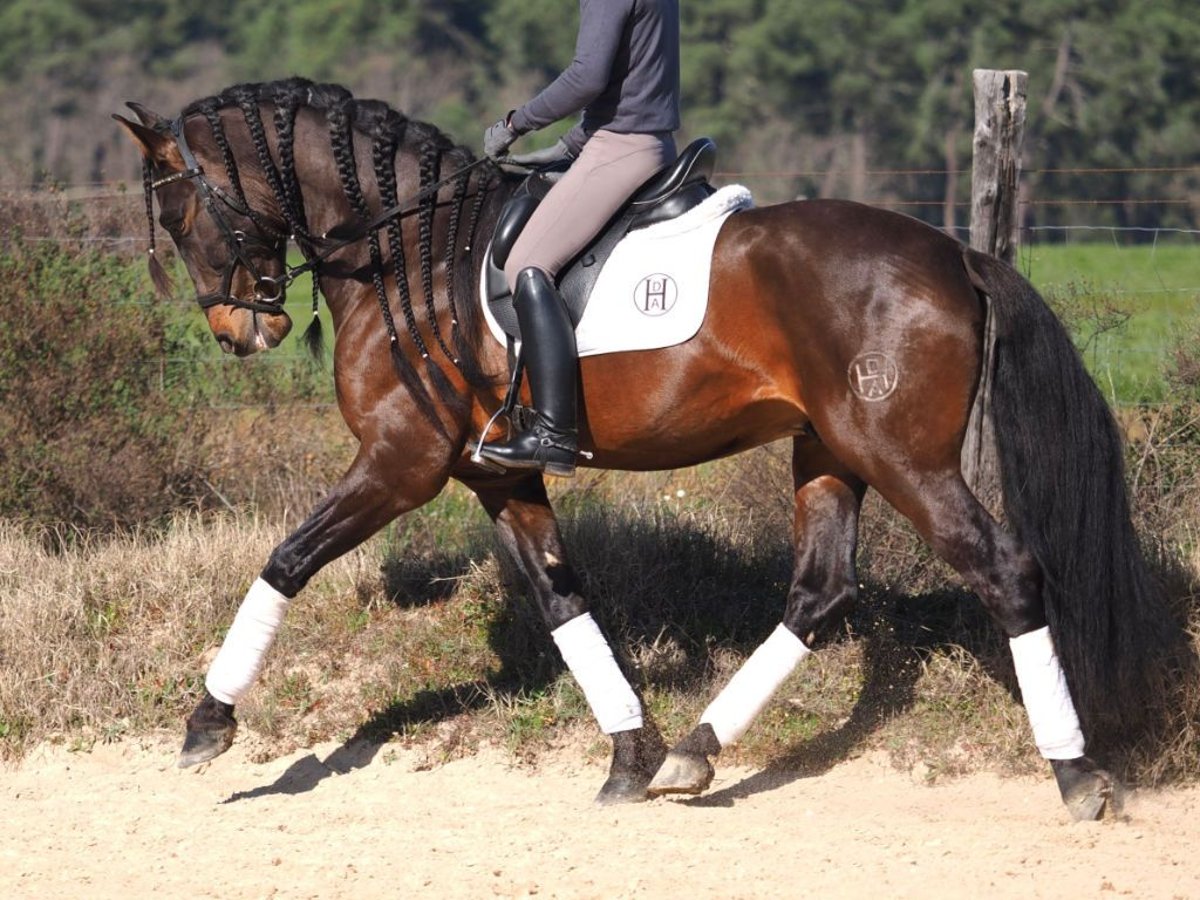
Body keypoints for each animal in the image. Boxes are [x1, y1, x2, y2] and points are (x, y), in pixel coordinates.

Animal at [114, 81, 1161, 820]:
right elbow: (560, 599)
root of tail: (955, 254)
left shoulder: (400, 462)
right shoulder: (494, 471)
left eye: (179, 213)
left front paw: (207, 723)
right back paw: (693, 753)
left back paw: (1076, 775)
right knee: (820, 592)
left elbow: (286, 560)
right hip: (831, 452)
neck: (406, 250)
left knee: (1004, 571)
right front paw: (630, 755)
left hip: (905, 458)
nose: (237, 331)